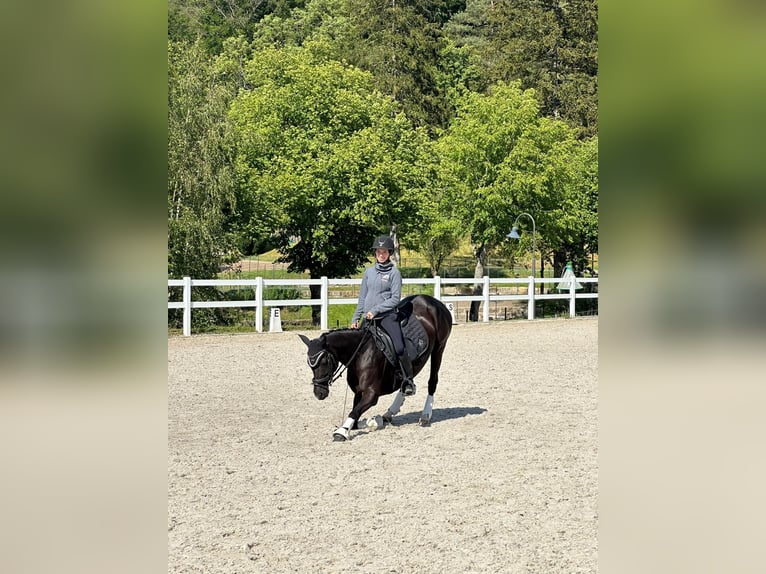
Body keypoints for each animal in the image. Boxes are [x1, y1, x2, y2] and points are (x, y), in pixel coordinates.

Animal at [300, 294, 456, 444]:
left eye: (324, 361)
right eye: (309, 364)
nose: (319, 393)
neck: (361, 352)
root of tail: (433, 301)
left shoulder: (371, 394)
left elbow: (354, 412)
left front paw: (342, 431)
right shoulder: (358, 392)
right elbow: (355, 418)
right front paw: (373, 421)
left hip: (439, 348)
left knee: (432, 380)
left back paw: (425, 416)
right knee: (408, 379)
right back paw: (391, 411)